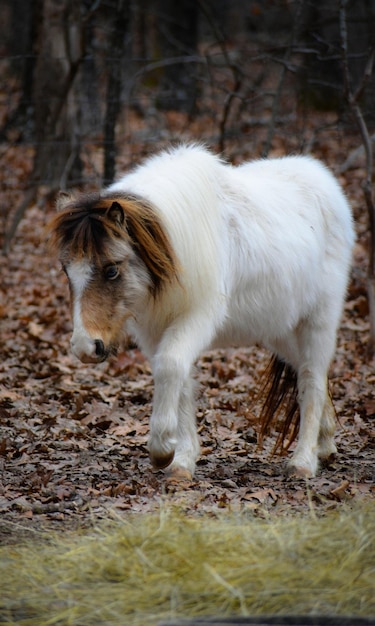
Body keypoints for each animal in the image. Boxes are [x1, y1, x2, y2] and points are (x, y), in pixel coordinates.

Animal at [50, 144, 356, 478]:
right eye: (66, 270)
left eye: (111, 270)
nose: (85, 347)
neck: (173, 242)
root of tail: (325, 182)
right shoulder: (156, 330)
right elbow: (179, 381)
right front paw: (182, 462)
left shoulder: (196, 319)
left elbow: (170, 366)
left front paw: (161, 451)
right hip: (280, 332)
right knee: (309, 372)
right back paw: (325, 445)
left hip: (318, 321)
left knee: (312, 379)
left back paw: (303, 462)